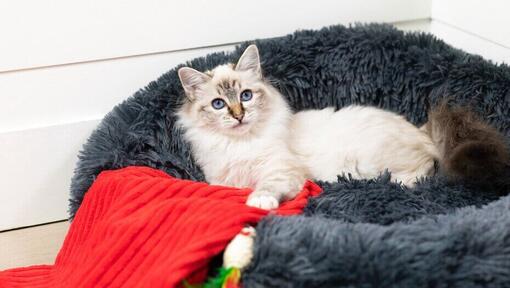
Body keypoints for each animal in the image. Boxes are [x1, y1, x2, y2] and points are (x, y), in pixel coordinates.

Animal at [176, 44, 510, 208]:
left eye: (246, 96)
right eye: (219, 104)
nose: (238, 115)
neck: (241, 144)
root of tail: (420, 128)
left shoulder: (281, 170)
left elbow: (266, 186)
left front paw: (259, 202)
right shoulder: (220, 178)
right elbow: (225, 187)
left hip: (376, 159)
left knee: (424, 169)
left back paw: (396, 184)